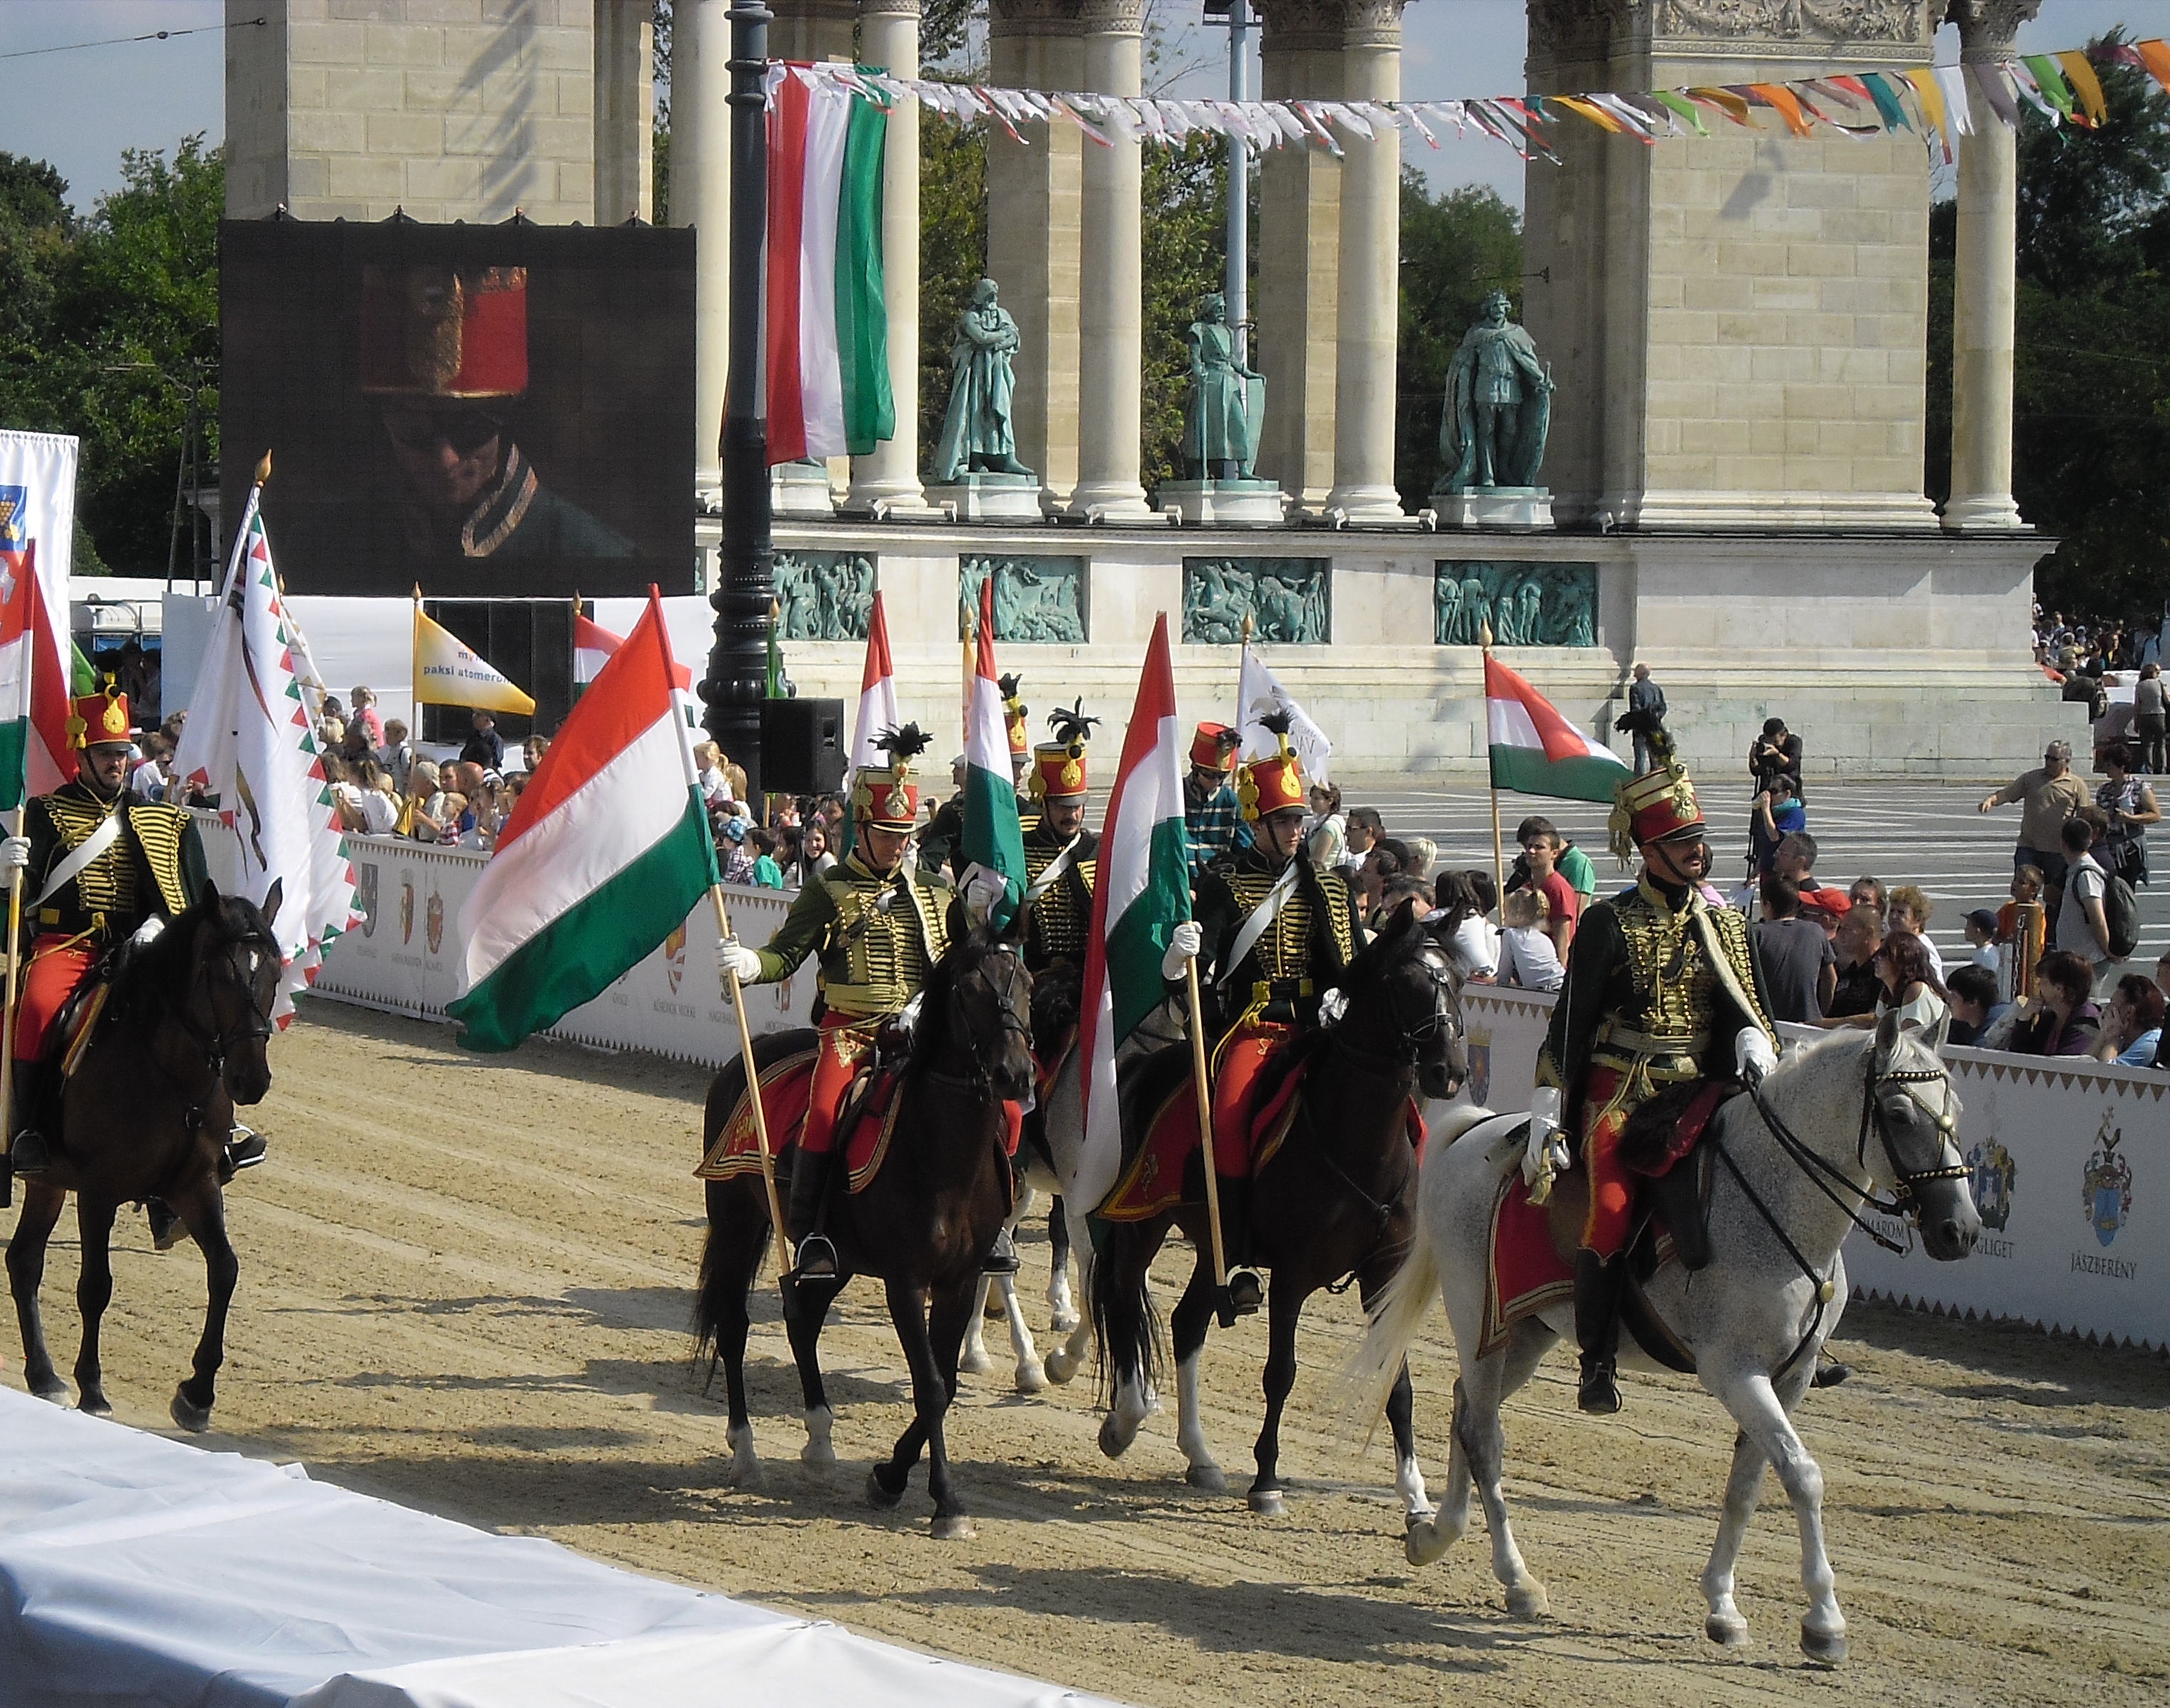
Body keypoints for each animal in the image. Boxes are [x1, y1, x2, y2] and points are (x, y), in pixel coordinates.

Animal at [5, 881, 288, 1432]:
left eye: (277, 973)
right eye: (221, 975)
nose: (251, 1080)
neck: (167, 1071)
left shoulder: (197, 1185)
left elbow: (225, 1270)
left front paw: (197, 1395)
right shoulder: (98, 1190)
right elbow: (96, 1285)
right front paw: (93, 1390)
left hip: (47, 1183)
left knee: (23, 1260)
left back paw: (44, 1376)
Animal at [694, 929, 1032, 1545]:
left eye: (1028, 985)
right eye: (968, 991)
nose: (1015, 1074)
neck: (942, 1156)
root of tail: (746, 1057)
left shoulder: (960, 1279)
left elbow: (946, 1383)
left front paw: (891, 1478)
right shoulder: (906, 1281)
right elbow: (930, 1385)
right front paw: (945, 1503)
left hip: (838, 1258)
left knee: (803, 1320)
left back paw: (820, 1441)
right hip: (735, 1221)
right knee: (733, 1326)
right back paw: (747, 1455)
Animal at [1094, 902, 1466, 1519]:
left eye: (1458, 981)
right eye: (1403, 983)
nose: (1450, 1071)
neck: (1358, 1143)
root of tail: (1147, 1063)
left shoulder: (1384, 1274)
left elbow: (1398, 1383)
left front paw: (1415, 1497)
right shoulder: (1293, 1275)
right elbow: (1281, 1373)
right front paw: (1266, 1481)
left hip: (1213, 1242)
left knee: (1187, 1322)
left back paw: (1200, 1456)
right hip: (1142, 1222)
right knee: (1125, 1300)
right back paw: (1125, 1421)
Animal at [1327, 1007, 1979, 1667]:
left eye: (1955, 1107)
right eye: (1899, 1113)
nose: (1961, 1229)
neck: (1774, 1205)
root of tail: (1478, 1131)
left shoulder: (1789, 1378)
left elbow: (1747, 1486)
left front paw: (1723, 1606)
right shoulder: (1735, 1372)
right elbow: (1802, 1475)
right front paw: (1824, 1620)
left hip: (1528, 1334)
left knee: (1465, 1407)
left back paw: (1436, 1534)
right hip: (1478, 1321)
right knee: (1484, 1435)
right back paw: (1517, 1579)